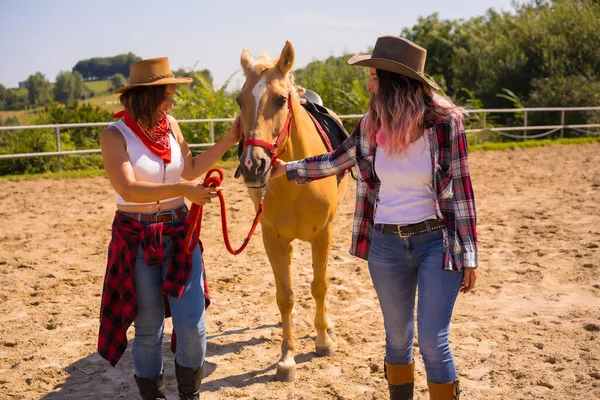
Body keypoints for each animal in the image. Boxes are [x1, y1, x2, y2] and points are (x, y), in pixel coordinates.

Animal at [234, 41, 346, 382]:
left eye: (281, 99)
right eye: (239, 100)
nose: (253, 166)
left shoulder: (323, 235)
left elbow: (320, 286)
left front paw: (323, 341)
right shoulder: (272, 238)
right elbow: (284, 296)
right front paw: (286, 358)